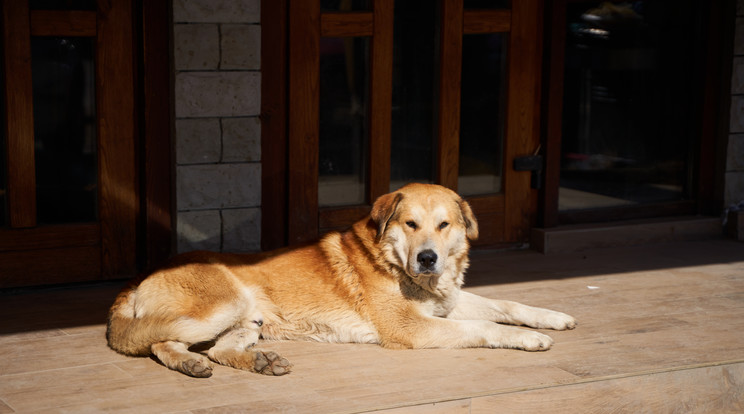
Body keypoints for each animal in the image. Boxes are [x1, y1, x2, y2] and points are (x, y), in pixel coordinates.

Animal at [107, 184, 580, 378]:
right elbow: (484, 325)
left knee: (221, 349)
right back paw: (188, 362)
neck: (390, 259)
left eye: (444, 225)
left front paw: (551, 317)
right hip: (223, 305)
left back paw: (260, 362)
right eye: (410, 224)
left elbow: (508, 305)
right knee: (159, 342)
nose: (427, 259)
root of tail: (139, 278)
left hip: (249, 318)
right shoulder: (412, 327)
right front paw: (529, 339)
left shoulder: (447, 302)